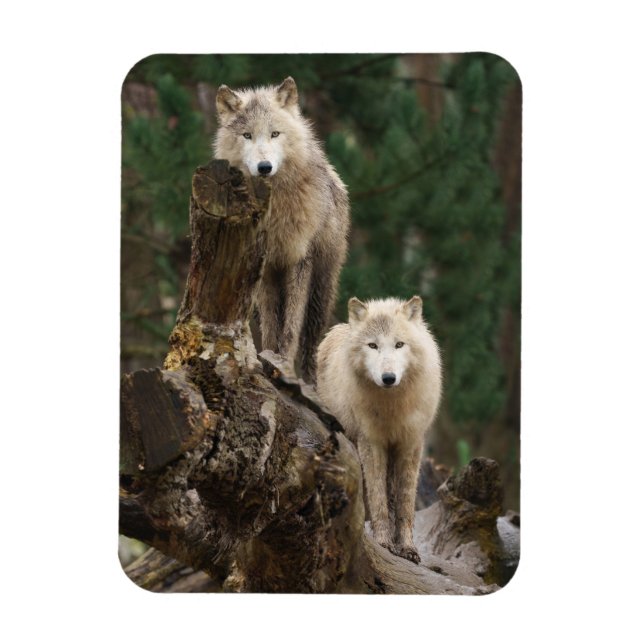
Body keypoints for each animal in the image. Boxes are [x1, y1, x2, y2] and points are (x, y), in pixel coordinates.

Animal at [214, 77, 350, 383]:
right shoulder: (265, 268)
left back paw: (311, 383)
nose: (264, 167)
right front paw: (268, 360)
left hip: (321, 288)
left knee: (312, 339)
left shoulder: (299, 260)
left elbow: (291, 327)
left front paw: (284, 365)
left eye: (275, 134)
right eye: (247, 136)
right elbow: (271, 325)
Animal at [316, 296, 442, 563]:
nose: (388, 378)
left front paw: (407, 548)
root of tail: (339, 327)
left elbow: (405, 503)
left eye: (399, 344)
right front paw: (384, 543)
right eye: (372, 345)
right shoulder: (371, 442)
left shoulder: (410, 443)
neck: (392, 407)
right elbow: (377, 498)